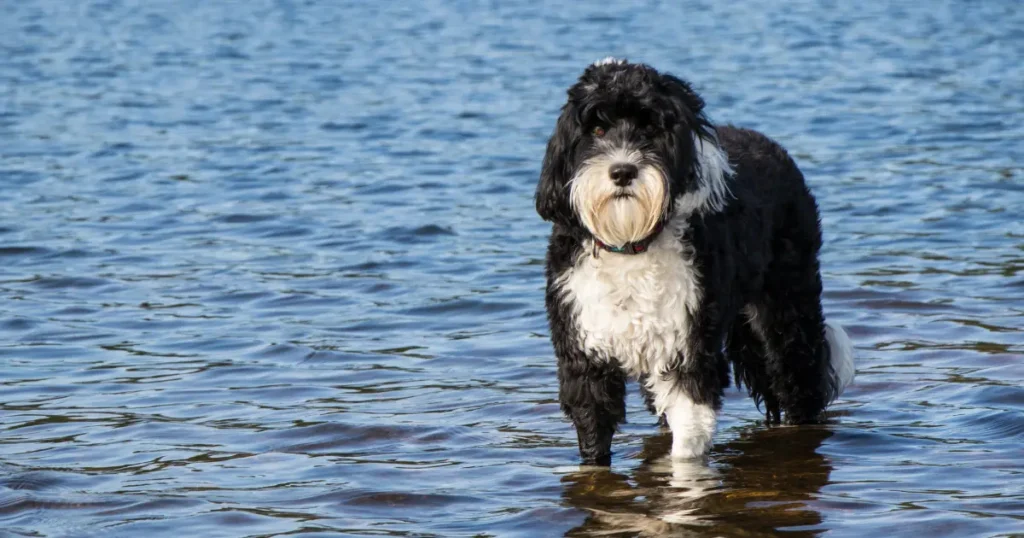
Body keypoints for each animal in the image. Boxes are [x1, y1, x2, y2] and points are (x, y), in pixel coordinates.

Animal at [536, 56, 856, 463]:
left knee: (800, 379)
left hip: (785, 311)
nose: (622, 171)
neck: (631, 242)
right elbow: (594, 436)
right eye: (596, 128)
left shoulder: (688, 351)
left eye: (651, 128)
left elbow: (686, 444)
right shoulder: (586, 358)